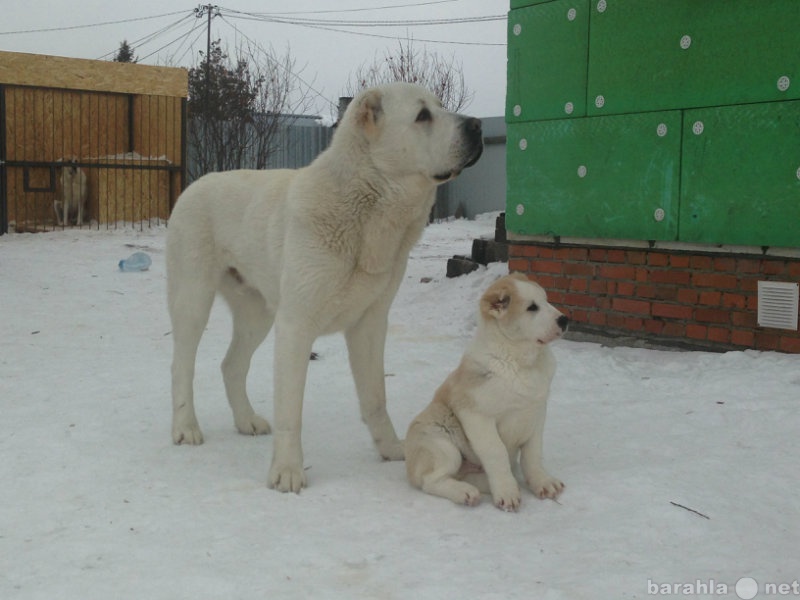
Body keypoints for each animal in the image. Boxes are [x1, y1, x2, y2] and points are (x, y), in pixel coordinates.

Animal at [166, 83, 484, 492]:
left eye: (441, 107)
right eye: (422, 116)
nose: (477, 126)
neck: (366, 208)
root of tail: (196, 184)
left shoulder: (370, 324)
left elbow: (375, 398)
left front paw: (391, 449)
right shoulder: (295, 326)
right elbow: (291, 411)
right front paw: (287, 471)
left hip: (257, 315)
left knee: (231, 365)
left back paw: (246, 421)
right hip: (193, 300)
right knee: (181, 365)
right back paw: (186, 427)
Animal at [406, 274, 568, 510]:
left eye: (546, 300)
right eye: (532, 308)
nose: (565, 320)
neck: (518, 361)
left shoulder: (537, 412)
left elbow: (533, 452)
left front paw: (542, 481)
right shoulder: (477, 416)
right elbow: (496, 451)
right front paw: (507, 492)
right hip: (441, 442)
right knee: (431, 480)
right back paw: (465, 492)